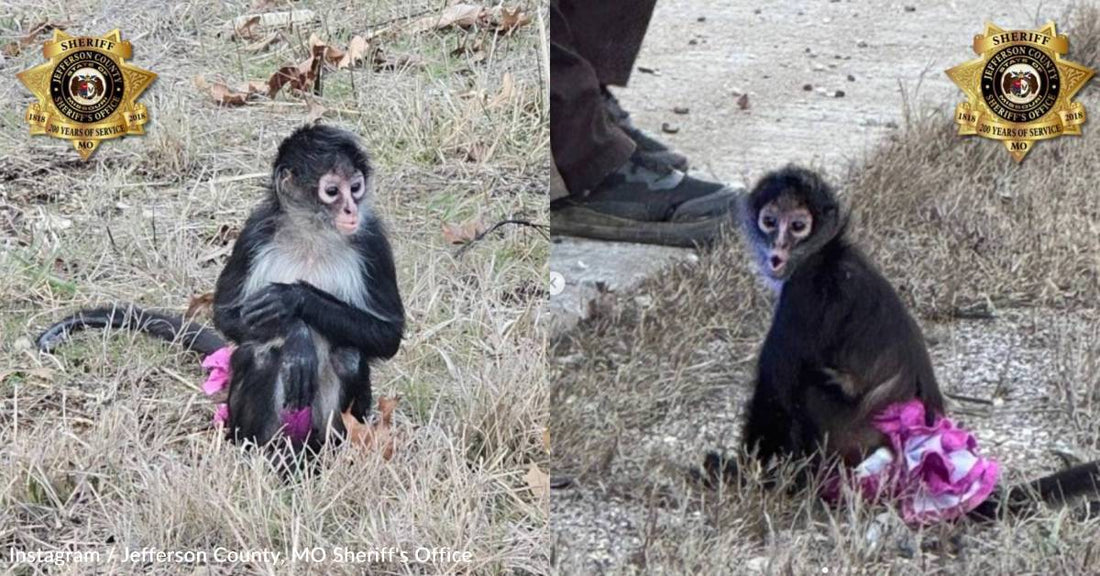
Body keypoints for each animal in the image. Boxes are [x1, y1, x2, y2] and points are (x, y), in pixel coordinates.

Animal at [34, 124, 407, 450]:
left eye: (355, 187)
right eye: (332, 191)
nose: (351, 209)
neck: (312, 235)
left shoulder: (371, 239)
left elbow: (388, 336)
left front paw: (295, 299)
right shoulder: (255, 231)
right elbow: (227, 316)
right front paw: (297, 332)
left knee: (348, 355)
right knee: (257, 353)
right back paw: (257, 449)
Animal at [699, 163, 1100, 518]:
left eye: (798, 226)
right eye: (770, 221)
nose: (777, 251)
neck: (826, 253)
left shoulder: (803, 294)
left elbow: (775, 392)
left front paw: (741, 475)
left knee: (808, 386)